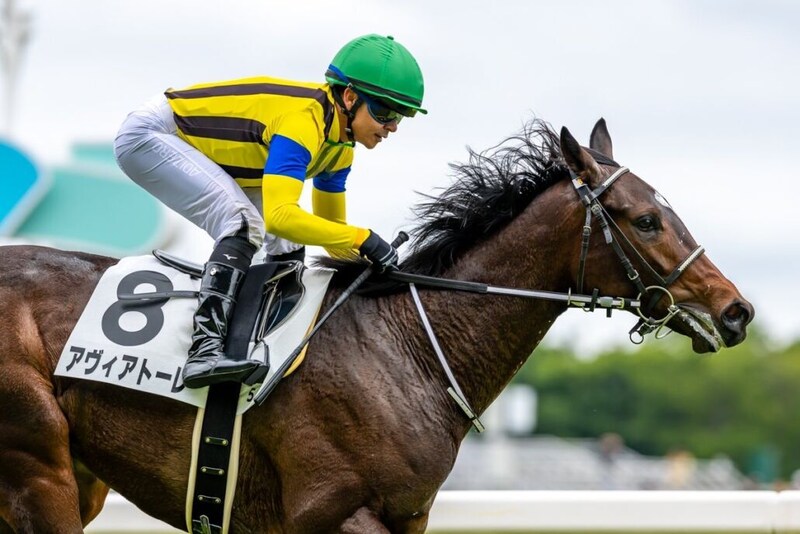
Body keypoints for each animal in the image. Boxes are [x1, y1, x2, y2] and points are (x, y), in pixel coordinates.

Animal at [0, 119, 753, 533]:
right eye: (646, 219)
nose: (736, 310)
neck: (406, 348)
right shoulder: (335, 513)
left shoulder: (408, 515)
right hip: (39, 469)